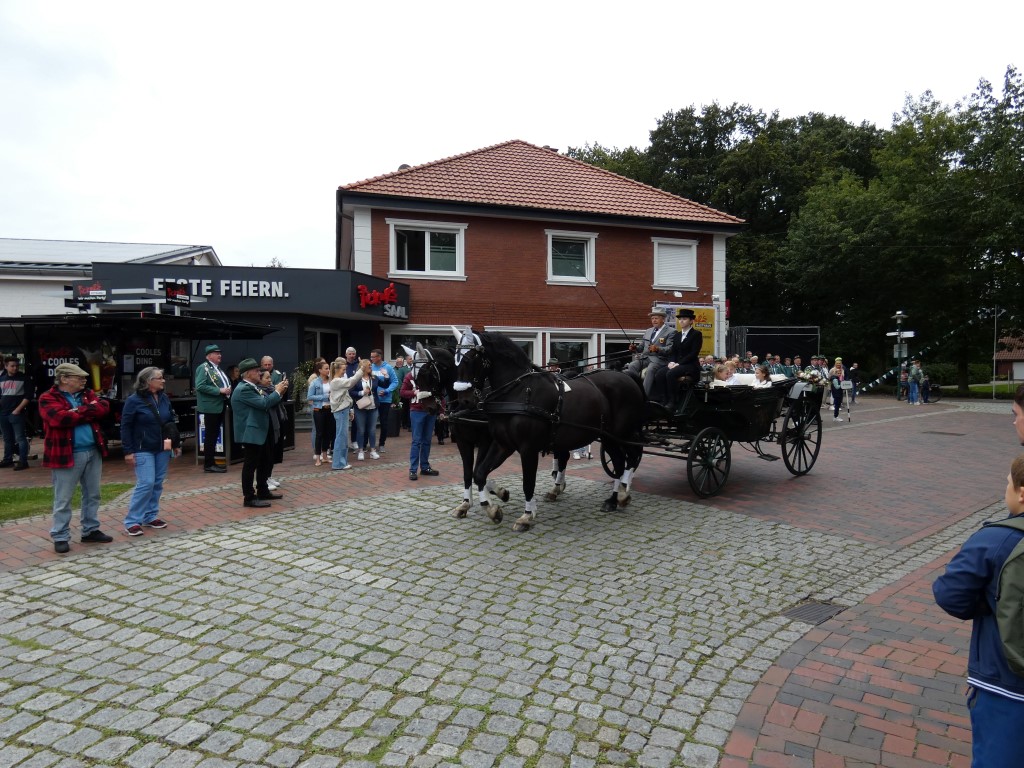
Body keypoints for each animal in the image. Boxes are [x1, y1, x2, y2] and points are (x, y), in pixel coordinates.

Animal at [410, 343, 511, 522]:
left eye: (427, 373)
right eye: (414, 377)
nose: (428, 407)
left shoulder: (485, 441)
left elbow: (479, 471)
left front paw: (488, 505)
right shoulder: (463, 442)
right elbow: (469, 473)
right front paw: (466, 503)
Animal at [453, 330, 645, 532]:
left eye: (471, 358)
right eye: (455, 359)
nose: (465, 400)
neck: (519, 392)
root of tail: (627, 377)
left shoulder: (527, 448)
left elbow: (528, 483)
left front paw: (527, 516)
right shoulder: (502, 444)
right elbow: (478, 473)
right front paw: (492, 508)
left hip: (620, 435)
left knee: (629, 459)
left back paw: (621, 494)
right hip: (607, 437)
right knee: (619, 462)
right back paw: (614, 499)